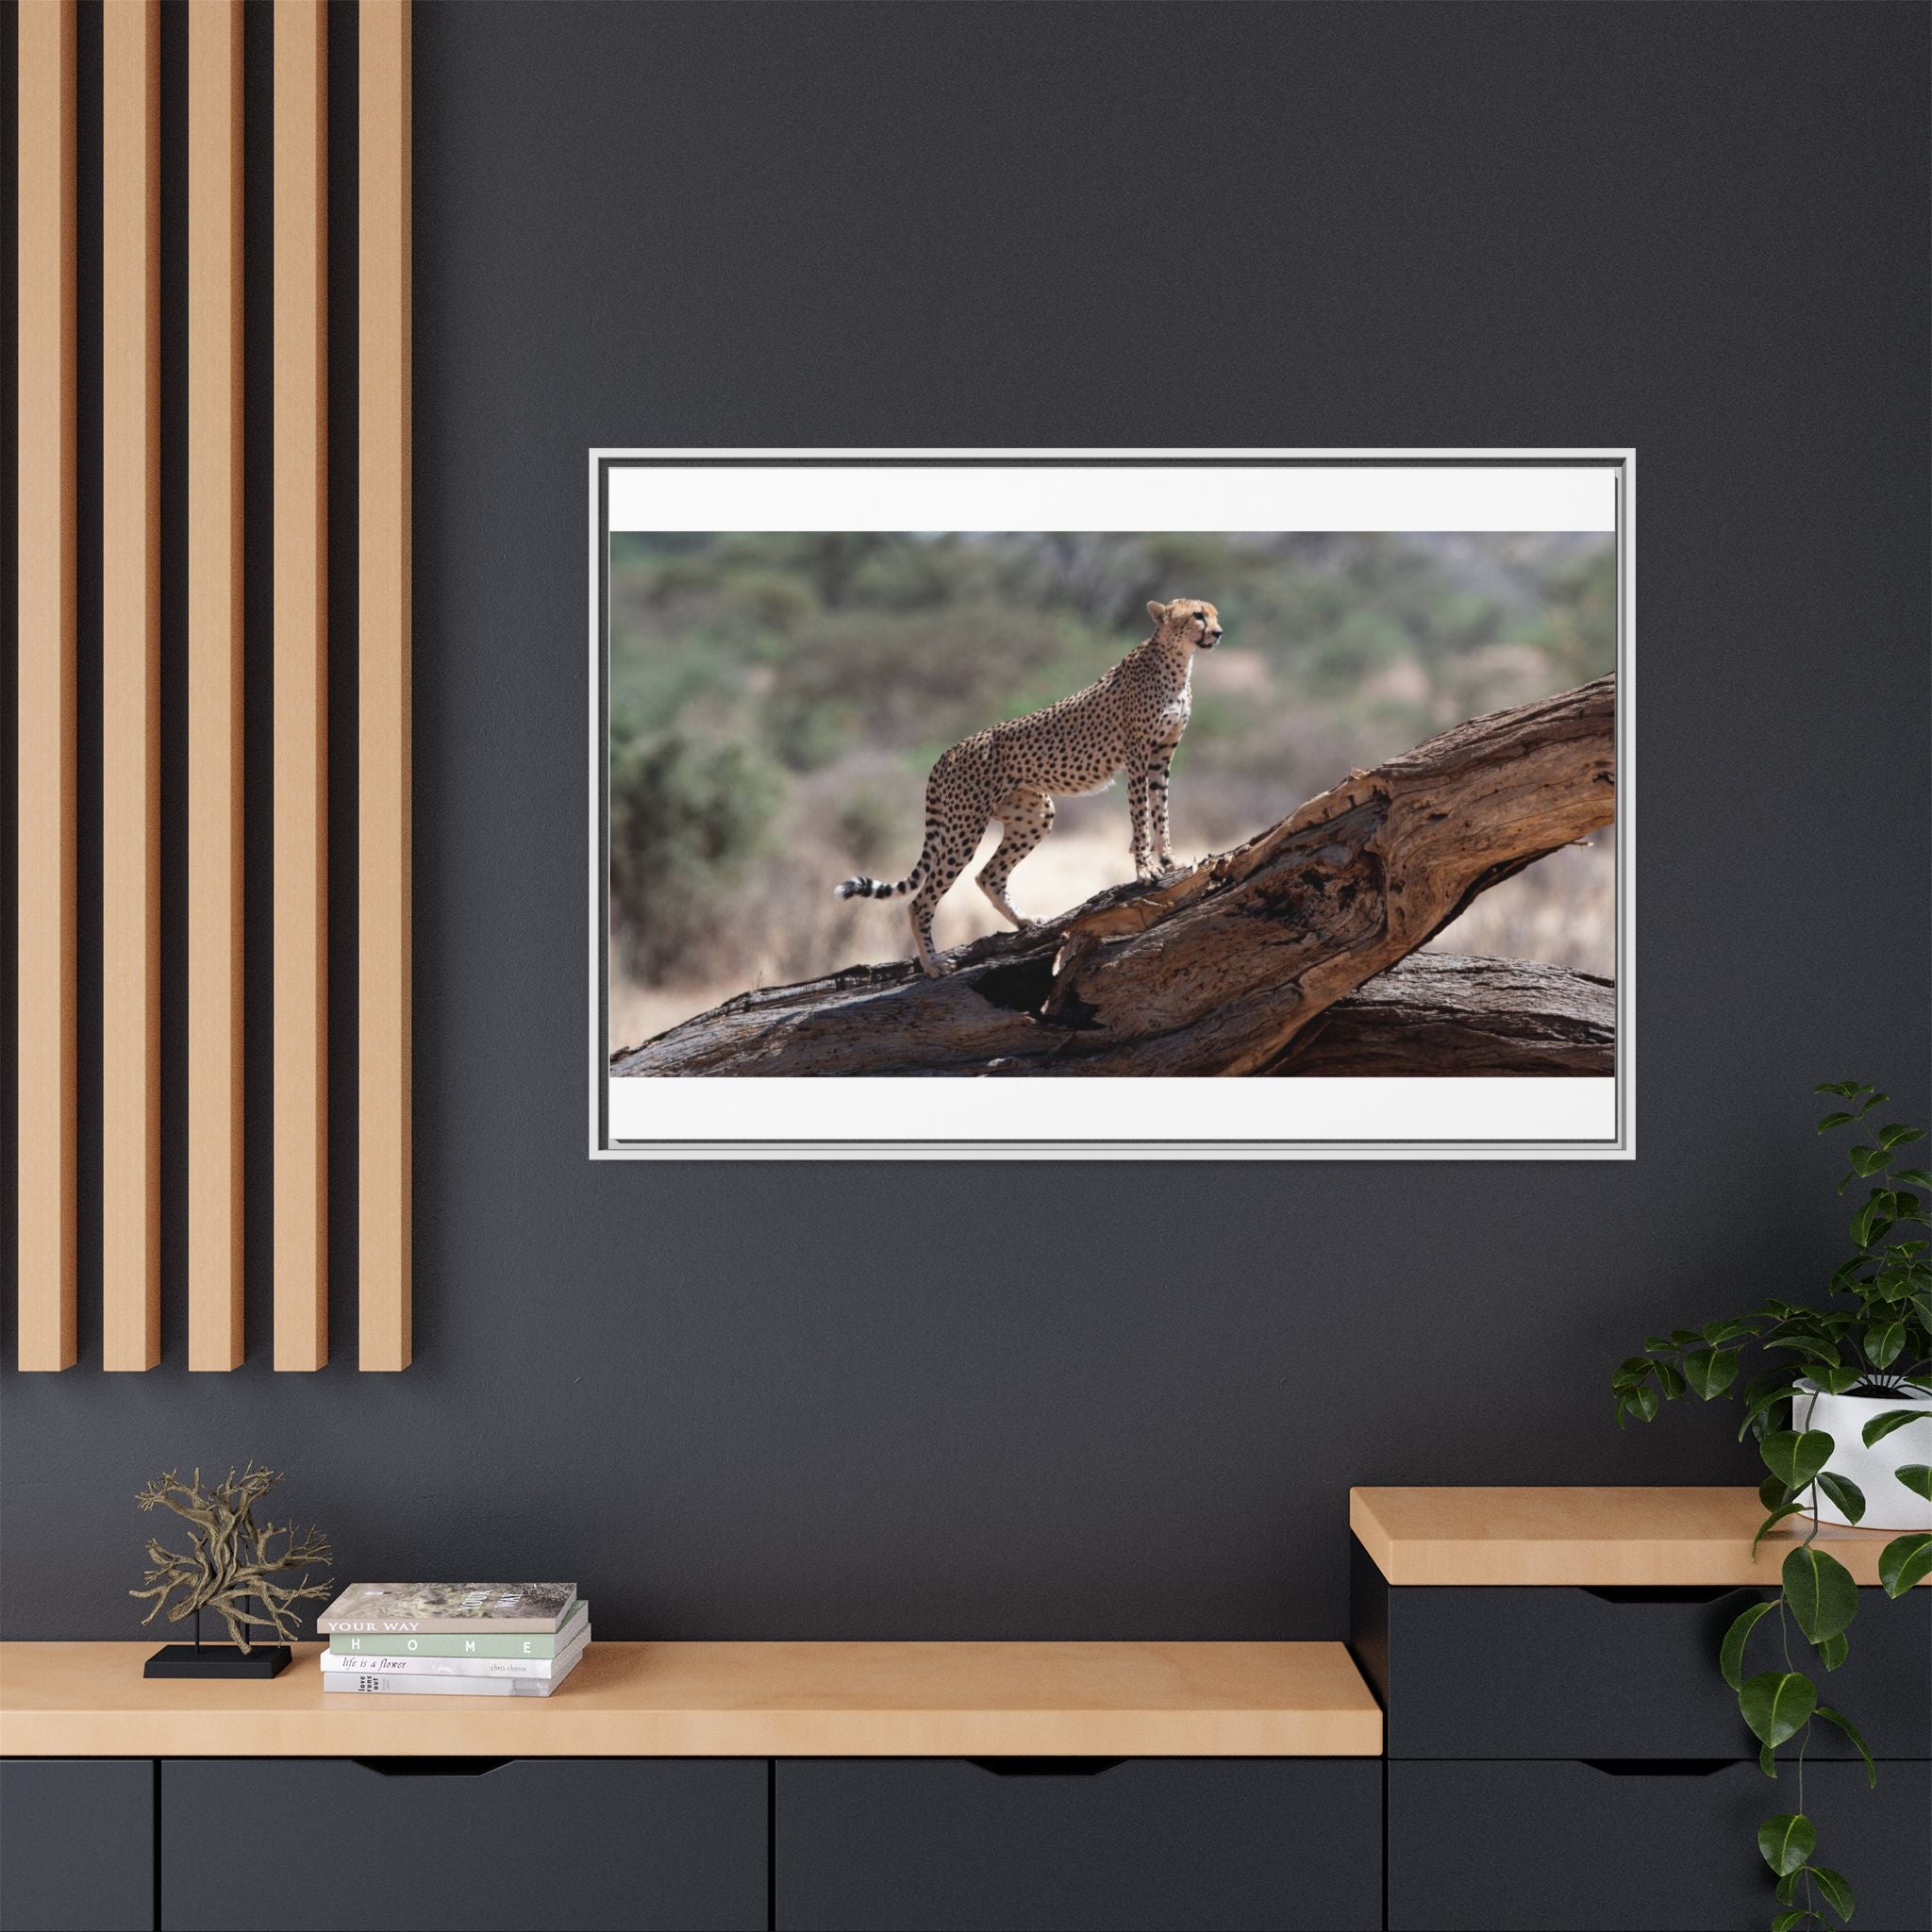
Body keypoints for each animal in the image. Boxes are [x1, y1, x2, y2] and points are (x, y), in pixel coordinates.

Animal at [835, 598, 1224, 977]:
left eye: (1214, 614)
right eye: (1197, 615)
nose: (1218, 632)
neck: (1177, 661)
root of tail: (947, 752)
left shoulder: (1161, 757)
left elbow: (1161, 811)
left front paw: (1169, 860)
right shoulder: (1138, 757)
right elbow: (1141, 817)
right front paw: (1145, 870)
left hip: (1034, 813)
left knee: (988, 876)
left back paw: (1025, 922)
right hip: (964, 827)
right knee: (921, 900)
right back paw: (933, 964)